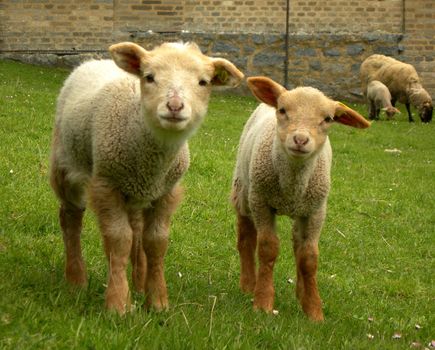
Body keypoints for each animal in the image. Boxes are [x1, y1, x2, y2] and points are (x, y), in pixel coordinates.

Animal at [50, 41, 245, 314]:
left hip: (135, 192)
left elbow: (155, 242)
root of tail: (95, 61)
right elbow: (119, 239)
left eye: (203, 82)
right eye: (149, 77)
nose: (174, 106)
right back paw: (76, 279)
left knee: (136, 230)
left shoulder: (166, 192)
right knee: (71, 217)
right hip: (65, 163)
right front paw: (118, 303)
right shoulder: (106, 184)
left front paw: (157, 301)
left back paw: (139, 283)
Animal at [232, 78, 372, 322]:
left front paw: (314, 310)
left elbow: (308, 258)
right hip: (244, 190)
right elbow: (268, 248)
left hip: (301, 210)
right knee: (246, 236)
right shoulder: (261, 202)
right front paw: (263, 302)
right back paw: (249, 283)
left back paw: (300, 292)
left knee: (297, 243)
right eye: (282, 110)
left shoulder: (316, 211)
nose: (300, 139)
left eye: (328, 119)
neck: (292, 186)